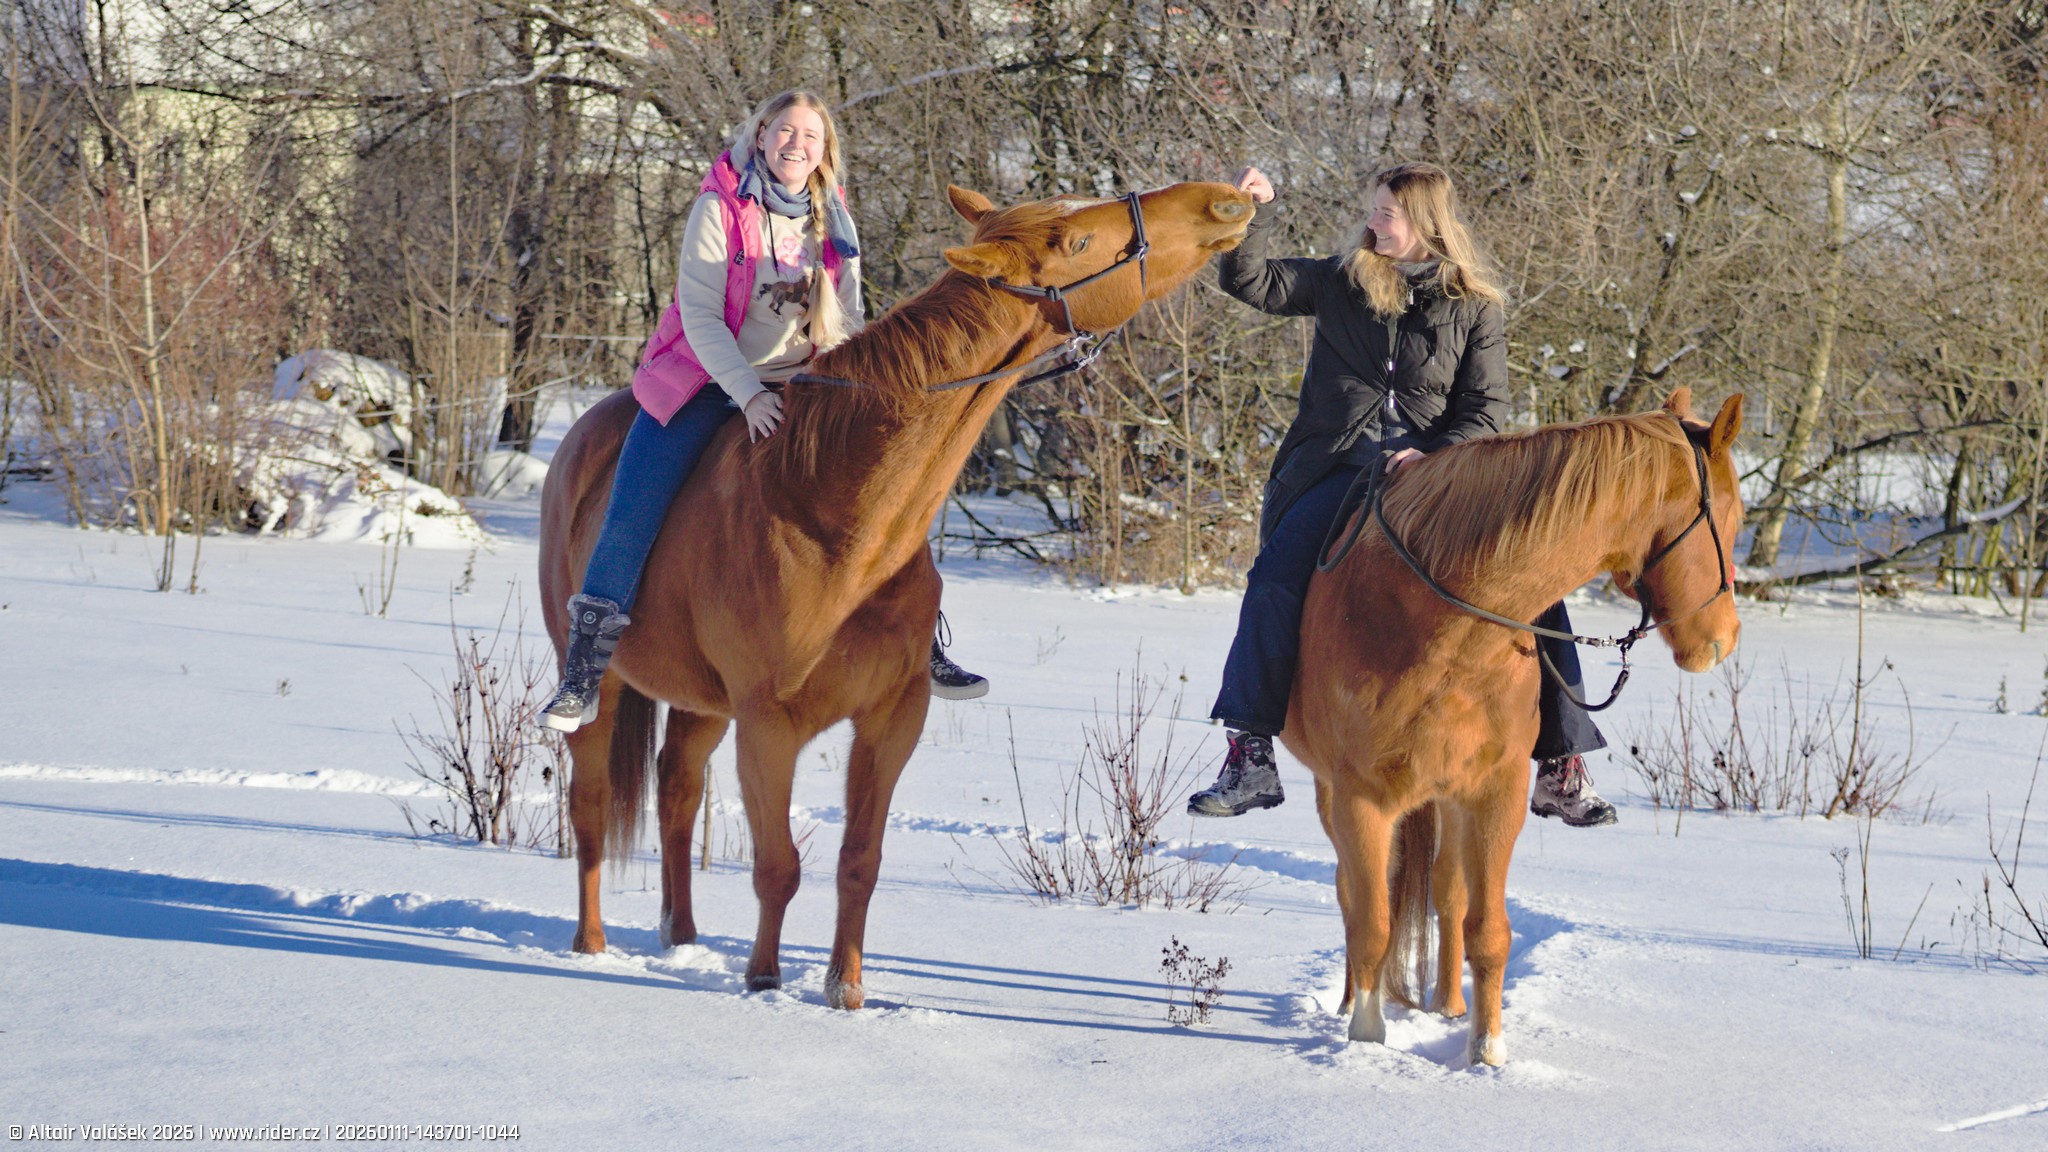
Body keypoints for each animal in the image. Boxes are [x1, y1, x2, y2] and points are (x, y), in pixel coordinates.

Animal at [538, 180, 1256, 1008]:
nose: (1223, 201)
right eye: (1077, 242)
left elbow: (860, 861)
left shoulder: (891, 719)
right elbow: (778, 865)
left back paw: (681, 938)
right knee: (591, 809)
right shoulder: (769, 725)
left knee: (678, 794)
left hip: (701, 703)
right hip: (606, 686)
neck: (832, 511)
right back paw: (590, 946)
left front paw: (845, 991)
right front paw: (763, 981)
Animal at [1287, 388, 1744, 1066]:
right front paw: (1364, 1041)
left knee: (1447, 893)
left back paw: (1449, 1006)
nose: (1725, 639)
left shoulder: (1494, 795)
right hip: (1334, 796)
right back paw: (1347, 1003)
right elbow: (1371, 923)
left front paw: (1486, 1052)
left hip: (1448, 801)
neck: (1445, 630)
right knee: (1354, 896)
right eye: (1734, 518)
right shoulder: (1358, 802)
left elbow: (1488, 930)